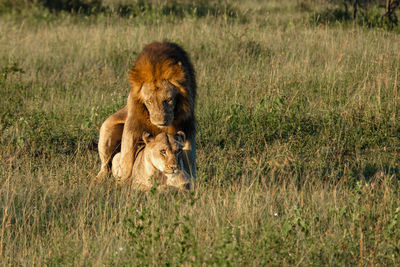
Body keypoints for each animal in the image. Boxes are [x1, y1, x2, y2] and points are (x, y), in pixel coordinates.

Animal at [97, 42, 197, 181]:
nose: (160, 121)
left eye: (169, 100)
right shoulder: (133, 124)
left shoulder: (186, 125)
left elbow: (189, 159)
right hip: (107, 128)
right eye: (149, 101)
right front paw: (125, 181)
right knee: (106, 164)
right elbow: (127, 158)